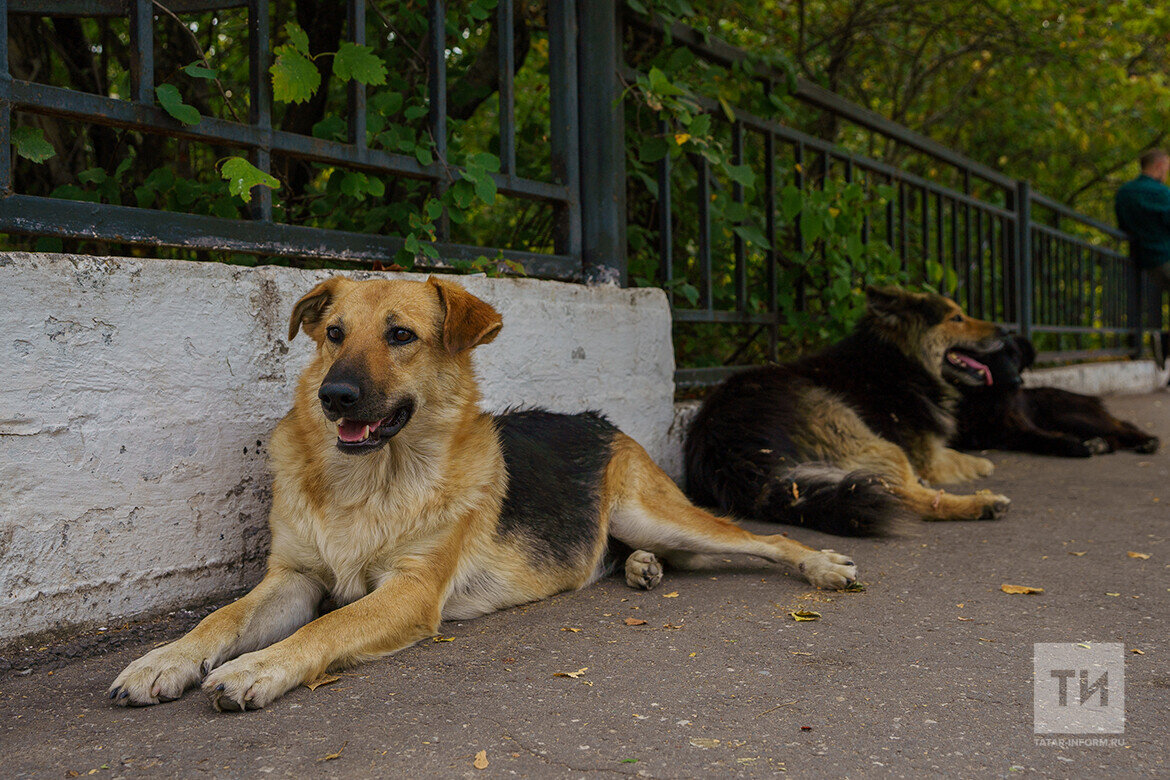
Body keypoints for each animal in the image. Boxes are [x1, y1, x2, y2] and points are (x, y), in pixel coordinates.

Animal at [109, 277, 861, 711]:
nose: (334, 396)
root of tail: (600, 419)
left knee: (764, 540)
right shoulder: (292, 579)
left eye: (401, 335)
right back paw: (640, 569)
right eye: (333, 334)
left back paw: (822, 565)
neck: (371, 482)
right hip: (646, 526)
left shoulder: (410, 592)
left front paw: (259, 667)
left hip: (653, 512)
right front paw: (163, 660)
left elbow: (327, 626)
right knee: (664, 555)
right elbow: (222, 618)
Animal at [687, 286, 1010, 537]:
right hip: (868, 438)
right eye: (957, 318)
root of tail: (726, 448)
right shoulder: (926, 457)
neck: (899, 359)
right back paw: (982, 503)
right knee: (904, 497)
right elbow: (955, 459)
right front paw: (983, 466)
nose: (1006, 330)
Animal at [950, 336, 1160, 458]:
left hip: (1071, 417)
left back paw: (1149, 442)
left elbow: (1049, 439)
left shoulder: (1026, 429)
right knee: (1115, 437)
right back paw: (1100, 444)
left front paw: (1076, 446)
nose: (1016, 382)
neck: (986, 402)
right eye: (991, 355)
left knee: (1123, 429)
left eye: (1015, 356)